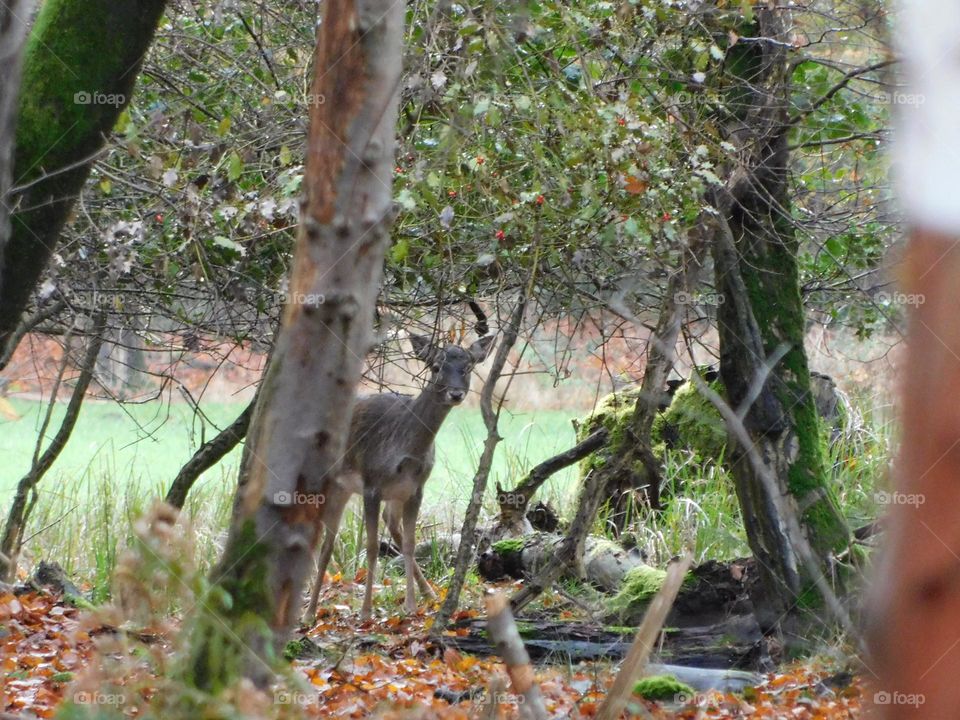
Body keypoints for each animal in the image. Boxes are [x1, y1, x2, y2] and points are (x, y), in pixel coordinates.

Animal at [304, 332, 494, 622]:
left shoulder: (416, 488)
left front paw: (412, 606)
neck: (407, 450)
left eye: (468, 367)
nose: (456, 393)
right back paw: (308, 612)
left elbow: (410, 543)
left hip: (362, 491)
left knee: (373, 530)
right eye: (435, 367)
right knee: (323, 542)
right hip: (329, 484)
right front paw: (366, 611)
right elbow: (372, 547)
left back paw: (428, 593)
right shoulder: (371, 483)